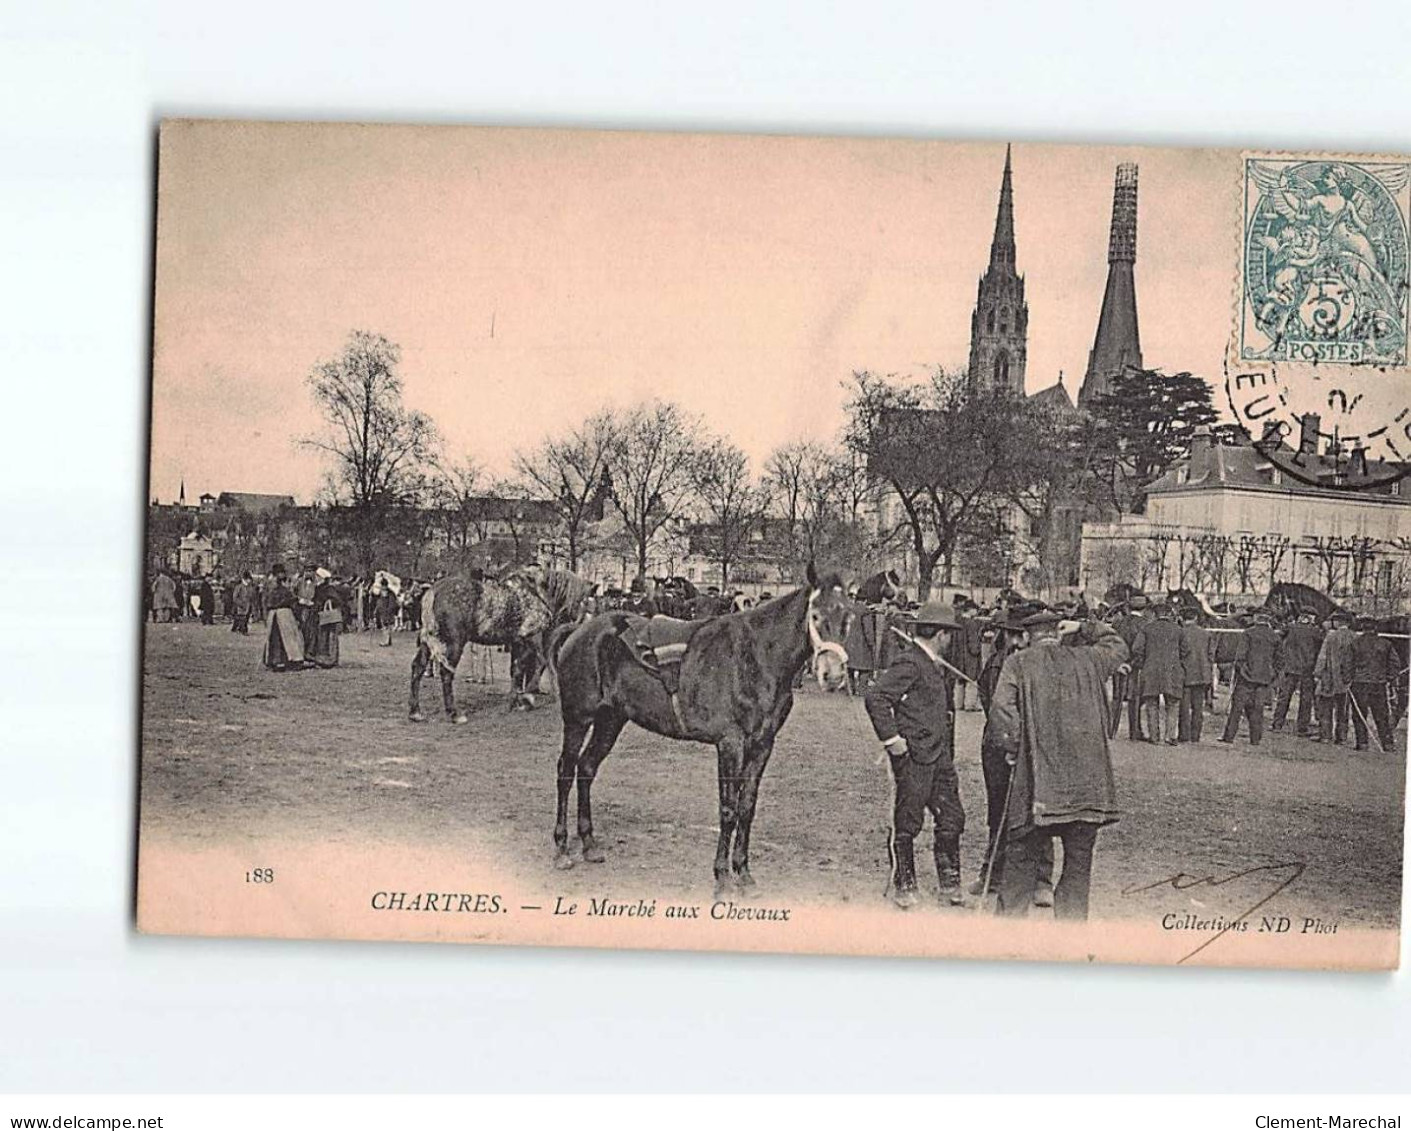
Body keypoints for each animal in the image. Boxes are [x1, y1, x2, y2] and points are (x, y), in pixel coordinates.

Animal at [409, 564, 589, 722]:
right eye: (582, 600)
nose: (576, 621)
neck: (536, 593)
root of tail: (433, 591)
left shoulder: (517, 644)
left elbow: (516, 671)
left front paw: (515, 702)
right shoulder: (531, 641)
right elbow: (537, 665)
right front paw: (526, 699)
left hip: (429, 642)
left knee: (418, 667)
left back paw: (415, 712)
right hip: (454, 644)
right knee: (446, 673)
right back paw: (454, 714)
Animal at [547, 561, 846, 891]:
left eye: (847, 617)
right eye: (815, 615)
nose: (833, 674)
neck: (756, 656)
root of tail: (579, 630)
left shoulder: (762, 745)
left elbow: (747, 807)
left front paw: (743, 871)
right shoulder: (730, 744)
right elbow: (728, 809)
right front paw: (723, 876)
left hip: (610, 719)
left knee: (586, 768)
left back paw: (588, 843)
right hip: (578, 718)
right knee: (566, 771)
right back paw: (562, 848)